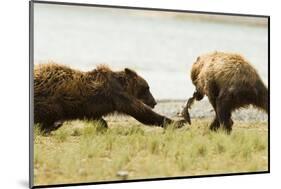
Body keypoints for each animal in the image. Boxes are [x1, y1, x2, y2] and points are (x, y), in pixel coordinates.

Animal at [34, 62, 184, 133]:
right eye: (147, 88)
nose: (154, 102)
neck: (124, 85)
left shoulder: (92, 107)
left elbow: (97, 118)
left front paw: (103, 127)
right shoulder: (118, 96)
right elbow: (141, 112)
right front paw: (177, 122)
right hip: (51, 100)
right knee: (50, 112)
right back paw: (51, 126)